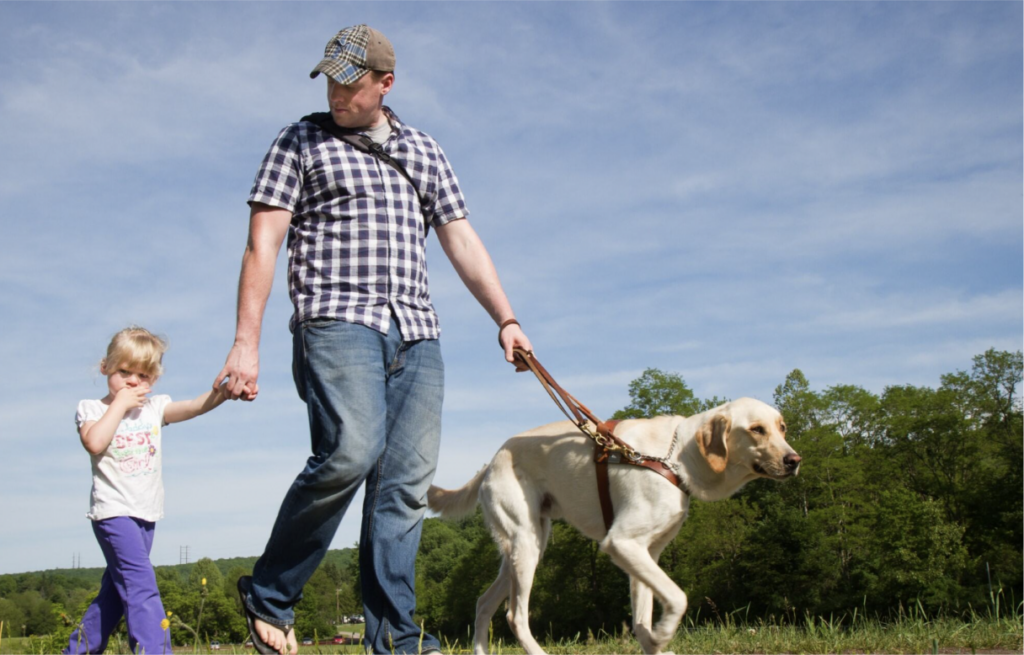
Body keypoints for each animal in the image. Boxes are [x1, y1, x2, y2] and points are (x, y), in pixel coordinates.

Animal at [423, 397, 798, 650]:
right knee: (515, 617)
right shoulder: (621, 543)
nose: (795, 460)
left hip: (525, 549)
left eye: (782, 428)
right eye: (756, 429)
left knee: (483, 604)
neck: (675, 457)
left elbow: (643, 617)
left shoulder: (646, 554)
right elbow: (678, 598)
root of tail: (491, 461)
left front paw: (653, 641)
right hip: (526, 546)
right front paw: (663, 634)